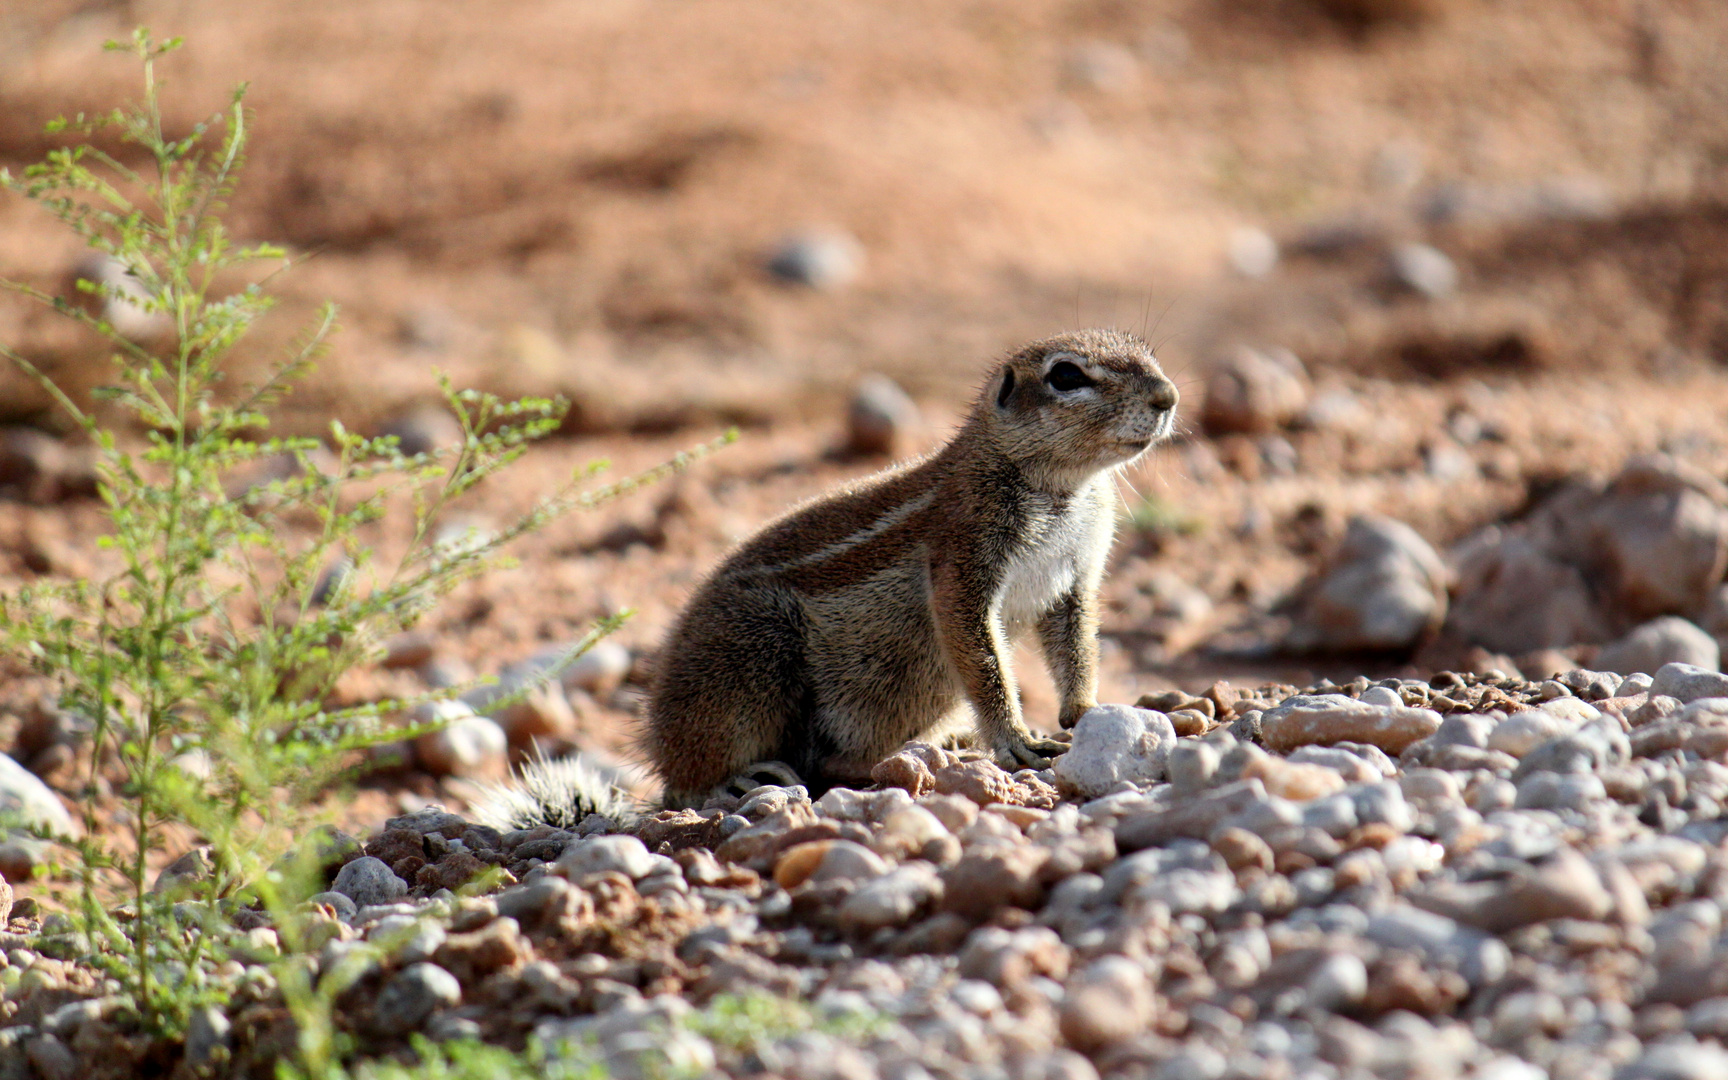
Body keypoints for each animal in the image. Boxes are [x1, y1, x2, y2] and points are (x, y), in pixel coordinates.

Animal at [642, 328, 1181, 808]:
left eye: (1151, 355)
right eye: (1067, 375)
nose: (1167, 396)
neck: (1062, 489)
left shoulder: (1075, 579)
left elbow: (1079, 644)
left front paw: (1086, 709)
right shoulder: (963, 551)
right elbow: (980, 657)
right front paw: (1017, 741)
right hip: (750, 653)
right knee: (688, 780)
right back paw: (729, 781)